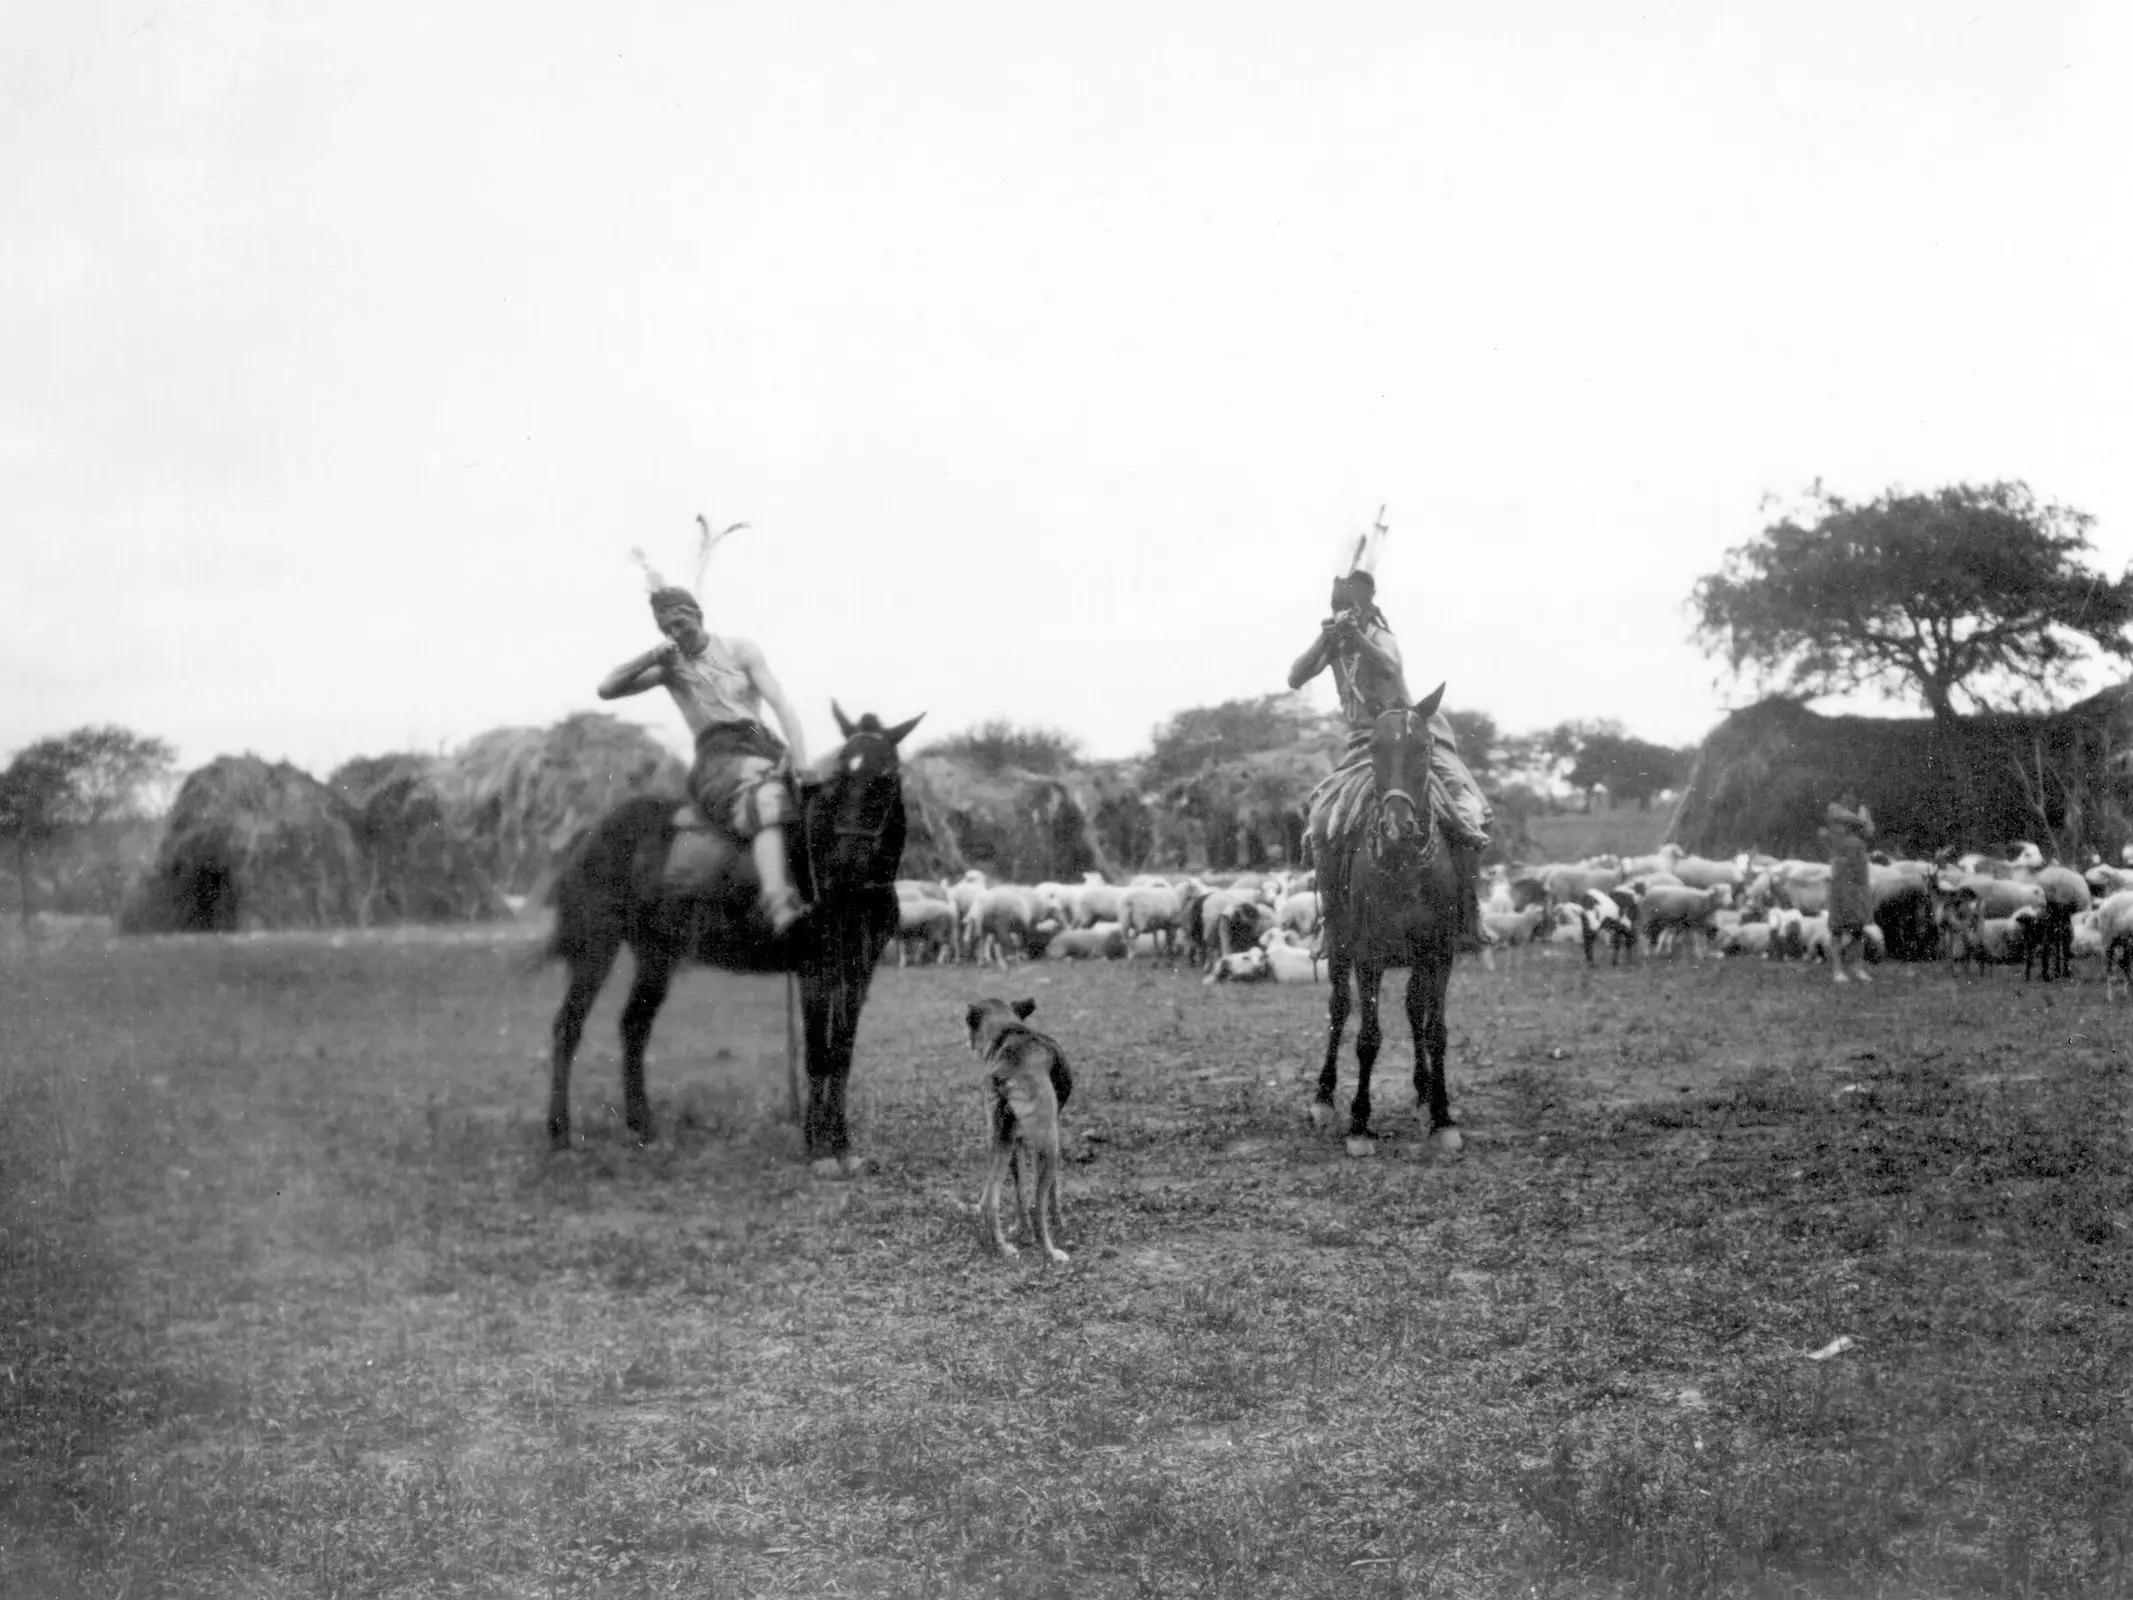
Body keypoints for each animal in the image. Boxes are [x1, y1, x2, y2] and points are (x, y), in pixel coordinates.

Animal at [540, 704, 922, 1174]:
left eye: (886, 776)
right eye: (837, 777)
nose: (847, 864)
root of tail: (592, 834)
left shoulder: (858, 973)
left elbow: (841, 1055)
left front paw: (842, 1145)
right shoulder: (814, 972)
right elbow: (818, 1055)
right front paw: (818, 1150)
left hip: (656, 954)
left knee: (633, 1027)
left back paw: (643, 1129)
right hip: (598, 948)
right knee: (568, 1027)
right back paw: (560, 1136)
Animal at [1309, 685, 1468, 1158]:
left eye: (1424, 748)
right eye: (1375, 749)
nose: (1397, 826)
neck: (1405, 866)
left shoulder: (1439, 953)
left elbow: (1435, 1030)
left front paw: (1442, 1116)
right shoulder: (1369, 956)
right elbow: (1368, 1037)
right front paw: (1360, 1124)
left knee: (1415, 1010)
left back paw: (1422, 1092)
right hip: (1339, 940)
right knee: (1339, 1009)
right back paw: (1323, 1098)